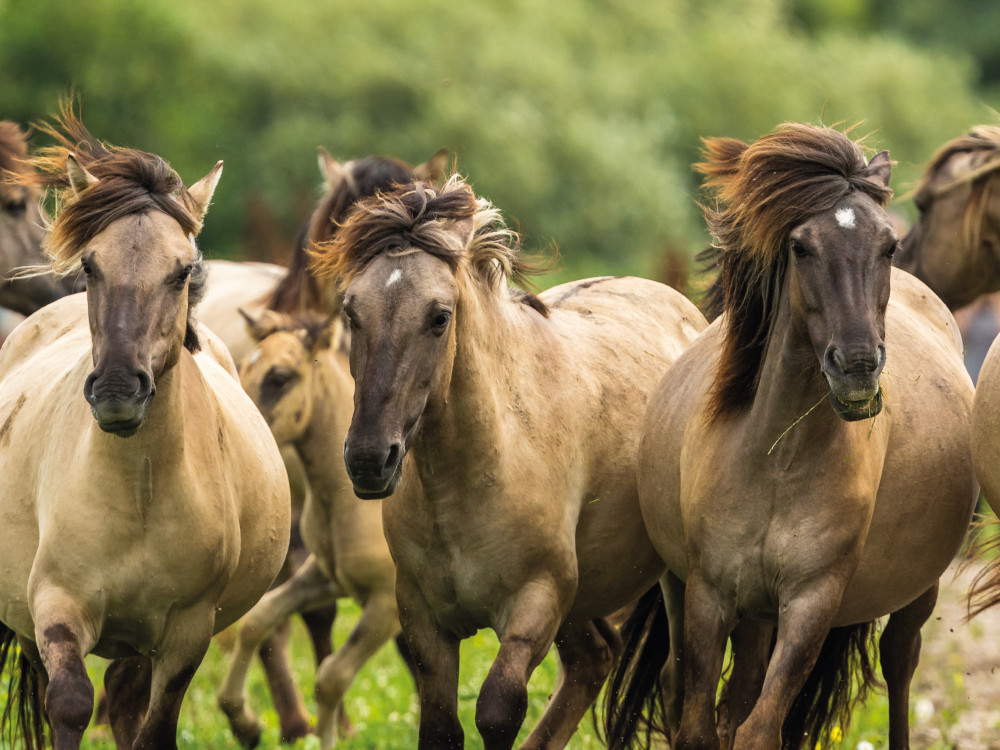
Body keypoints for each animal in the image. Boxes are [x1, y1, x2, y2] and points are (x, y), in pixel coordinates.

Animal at [215, 308, 410, 748]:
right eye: (243, 367)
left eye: (279, 377)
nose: (242, 430)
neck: (351, 504)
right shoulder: (325, 575)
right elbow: (258, 619)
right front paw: (242, 720)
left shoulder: (386, 603)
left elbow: (332, 676)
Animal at [308, 175, 708, 750]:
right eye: (351, 312)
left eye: (439, 317)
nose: (368, 459)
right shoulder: (424, 619)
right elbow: (440, 726)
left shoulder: (534, 604)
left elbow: (497, 711)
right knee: (593, 660)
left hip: (670, 584)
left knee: (674, 684)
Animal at [600, 125, 976, 750]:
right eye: (800, 247)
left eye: (888, 246)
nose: (857, 366)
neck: (779, 461)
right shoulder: (710, 595)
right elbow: (701, 724)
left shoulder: (810, 601)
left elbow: (760, 728)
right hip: (702, 596)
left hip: (910, 594)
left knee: (900, 662)